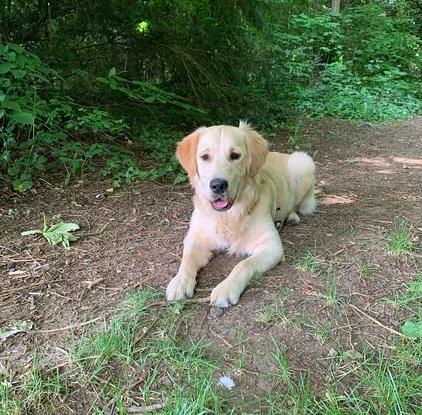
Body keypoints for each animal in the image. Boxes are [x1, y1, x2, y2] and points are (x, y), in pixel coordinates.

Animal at [166, 122, 314, 308]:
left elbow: (243, 264)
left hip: (302, 163)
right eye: (205, 156)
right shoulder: (195, 238)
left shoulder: (272, 246)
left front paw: (226, 288)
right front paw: (180, 281)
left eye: (235, 155)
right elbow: (187, 260)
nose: (218, 185)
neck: (228, 216)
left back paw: (293, 216)